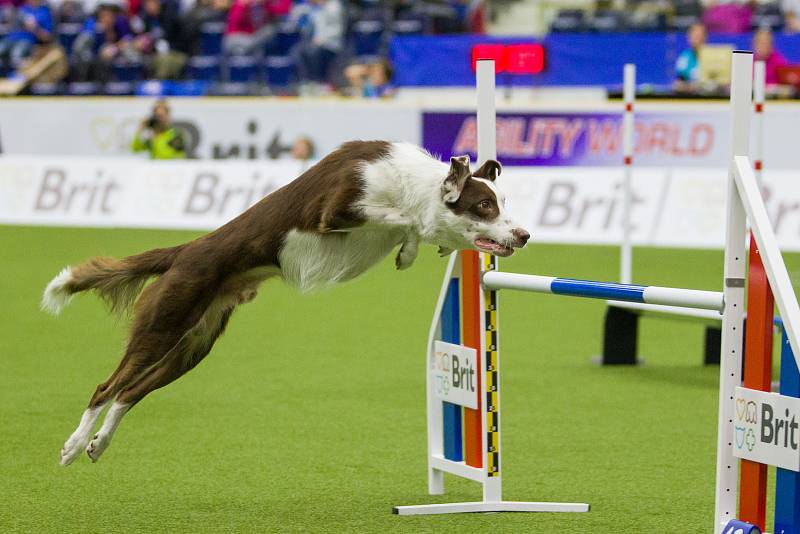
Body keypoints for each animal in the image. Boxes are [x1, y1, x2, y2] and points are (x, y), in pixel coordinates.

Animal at [43, 141, 532, 464]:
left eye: (503, 202)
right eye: (484, 205)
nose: (525, 235)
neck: (407, 182)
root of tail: (184, 251)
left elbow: (413, 226)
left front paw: (419, 249)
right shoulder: (333, 211)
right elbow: (406, 219)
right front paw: (412, 247)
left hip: (193, 346)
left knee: (129, 392)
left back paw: (98, 445)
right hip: (164, 324)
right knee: (107, 388)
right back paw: (73, 445)